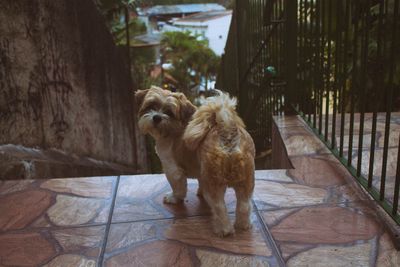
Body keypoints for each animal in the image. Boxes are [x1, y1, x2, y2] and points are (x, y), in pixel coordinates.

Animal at [184, 91, 255, 238]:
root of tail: (226, 128)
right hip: (247, 181)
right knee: (244, 205)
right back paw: (243, 225)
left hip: (214, 183)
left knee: (219, 207)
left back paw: (224, 230)